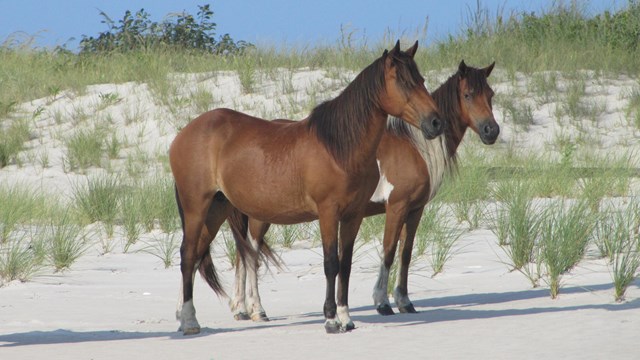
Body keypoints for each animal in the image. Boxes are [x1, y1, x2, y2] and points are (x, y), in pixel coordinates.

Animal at [168, 41, 442, 334]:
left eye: (421, 80)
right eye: (402, 81)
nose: (436, 122)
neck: (340, 148)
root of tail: (183, 134)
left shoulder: (353, 215)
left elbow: (345, 264)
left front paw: (346, 318)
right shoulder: (328, 212)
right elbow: (331, 263)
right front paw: (331, 319)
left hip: (216, 209)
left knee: (196, 255)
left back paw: (184, 316)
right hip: (197, 206)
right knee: (188, 255)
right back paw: (190, 321)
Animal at [228, 59, 498, 320]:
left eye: (490, 94)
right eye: (467, 94)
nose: (491, 130)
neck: (414, 147)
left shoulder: (415, 210)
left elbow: (406, 254)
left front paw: (404, 301)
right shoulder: (397, 206)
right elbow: (388, 251)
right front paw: (382, 302)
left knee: (243, 255)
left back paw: (241, 309)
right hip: (260, 216)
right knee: (250, 254)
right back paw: (255, 308)